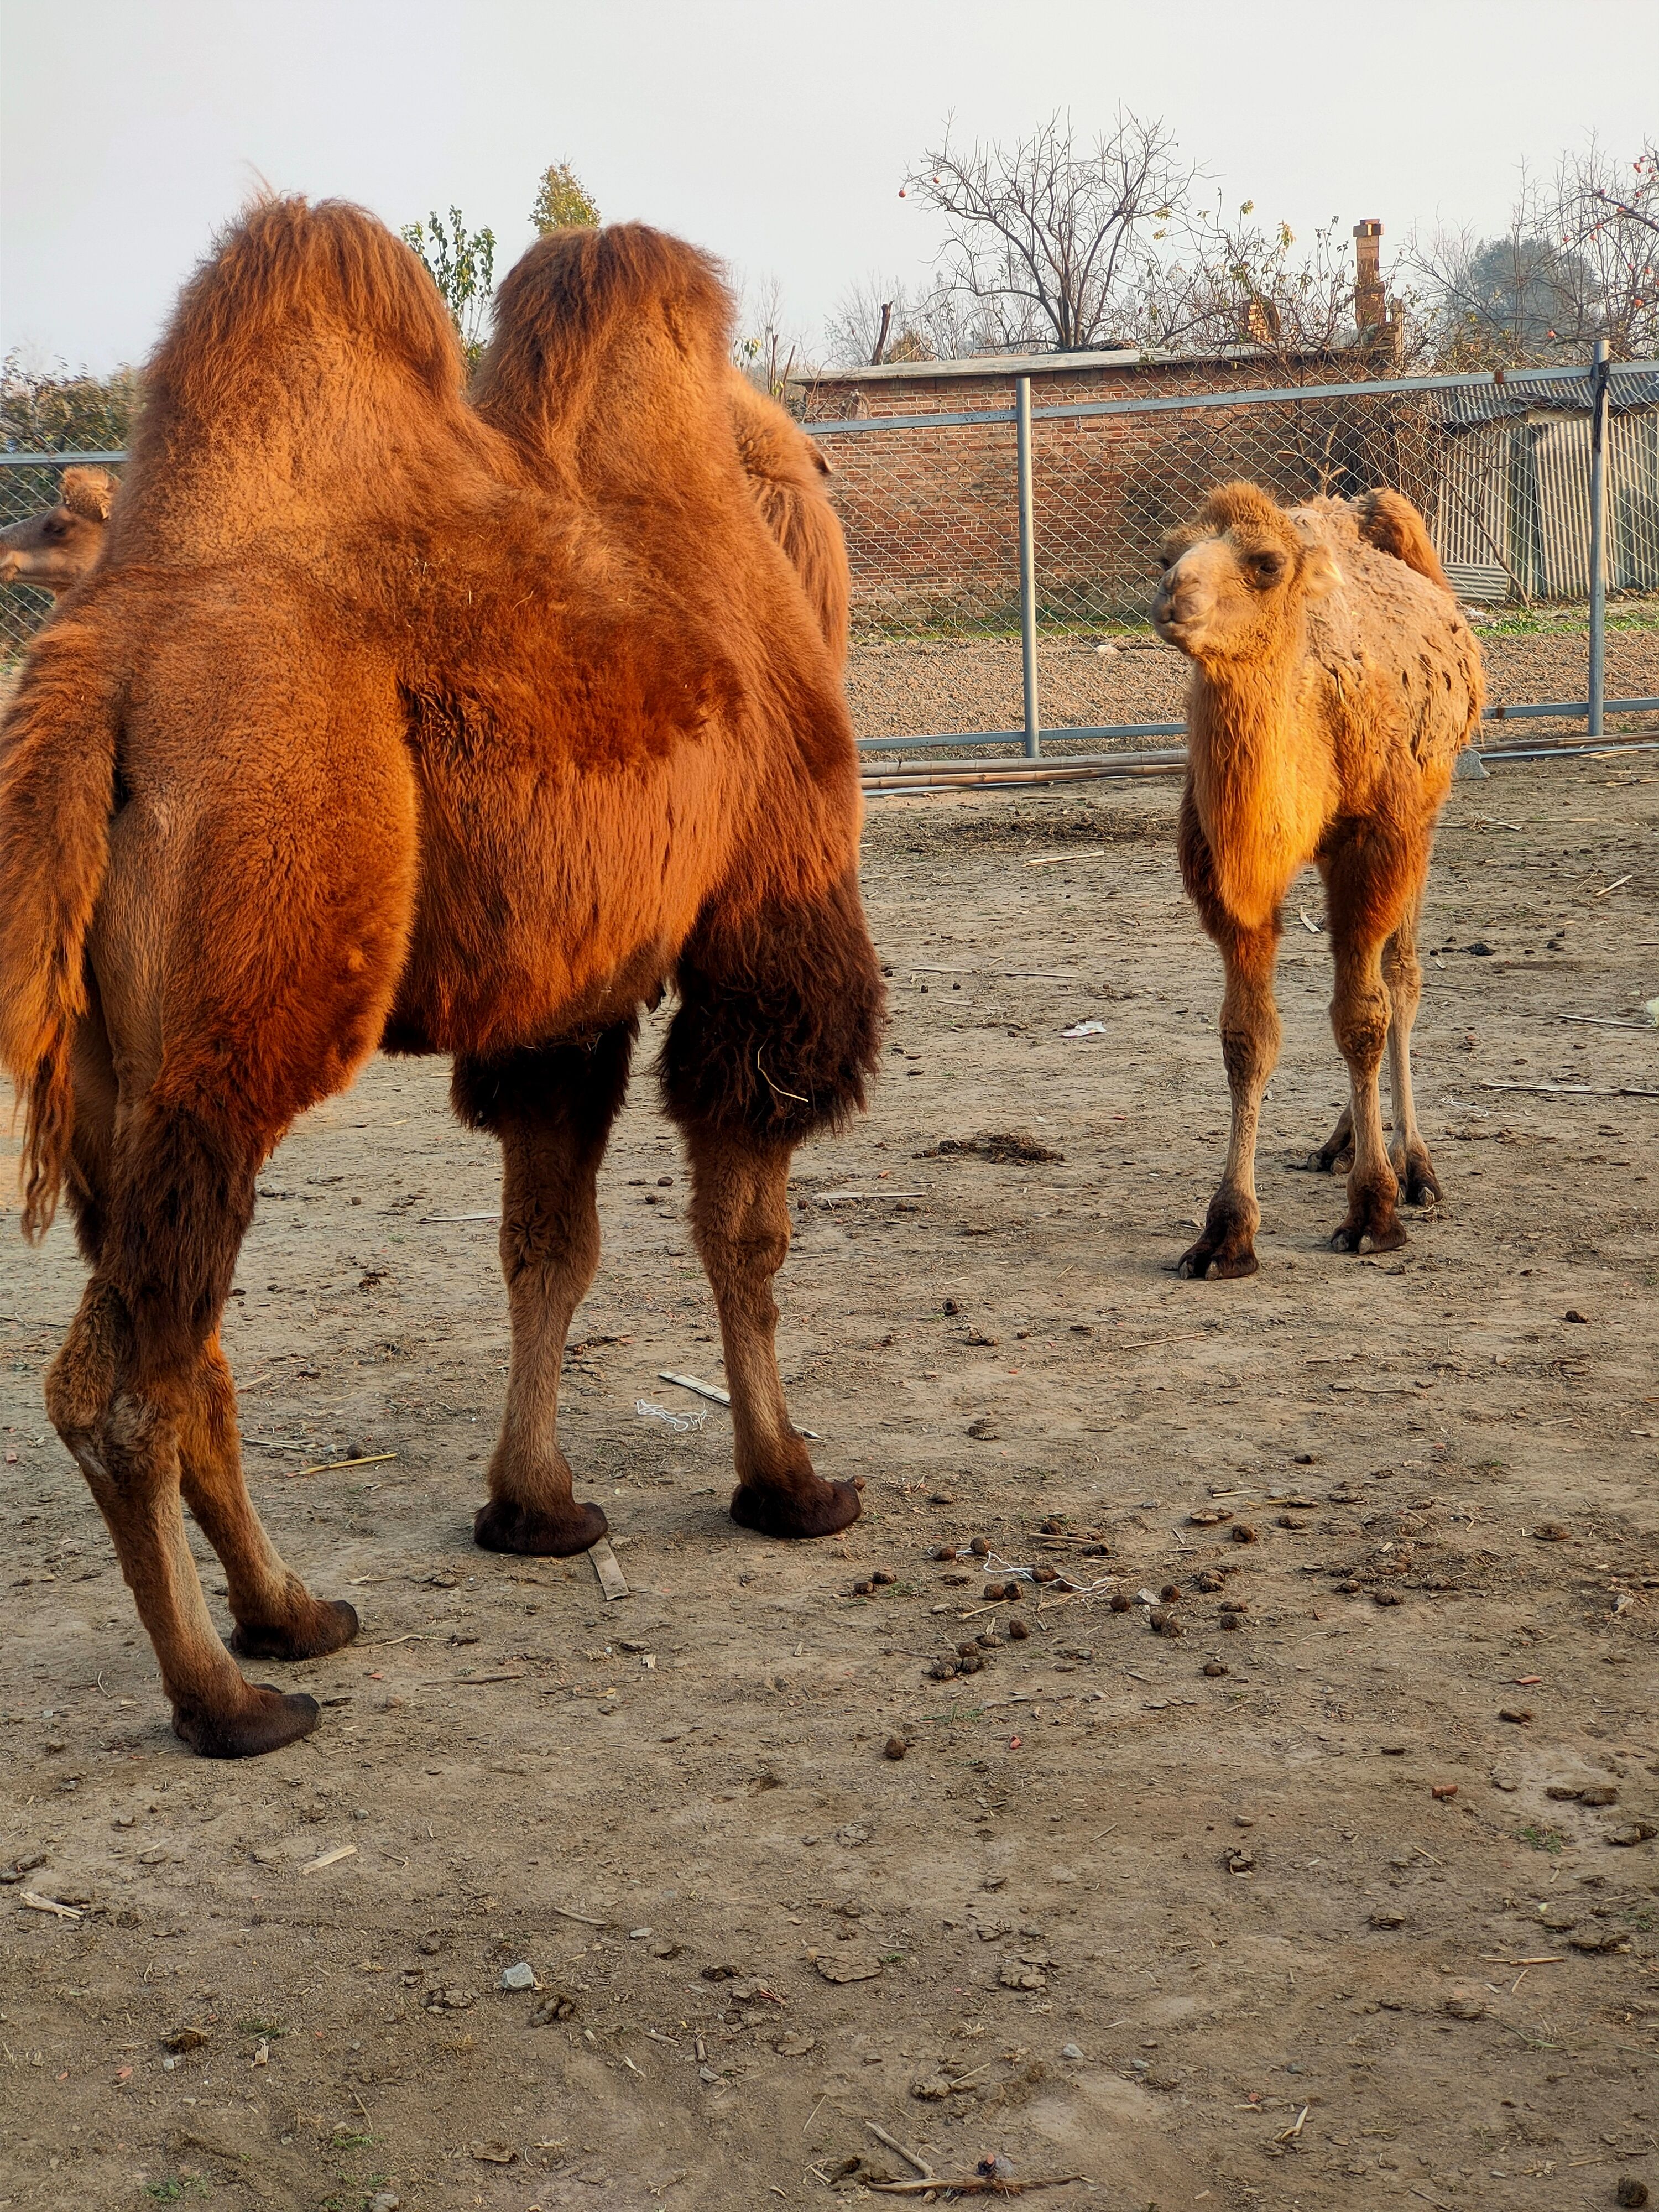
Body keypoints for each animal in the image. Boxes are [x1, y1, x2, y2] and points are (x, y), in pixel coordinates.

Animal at [0, 204, 885, 1761]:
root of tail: (100, 674)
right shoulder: (765, 927)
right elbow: (746, 1229)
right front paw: (787, 1482)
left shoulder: (567, 999)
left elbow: (548, 1240)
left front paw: (533, 1506)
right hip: (249, 1002)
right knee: (122, 1382)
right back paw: (229, 1697)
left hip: (118, 1075)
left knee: (186, 1338)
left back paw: (294, 1613)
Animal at [1150, 484, 1486, 1283]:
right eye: (1166, 551)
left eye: (1267, 563)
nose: (1173, 595)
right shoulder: (1229, 880)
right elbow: (1247, 1037)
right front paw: (1225, 1235)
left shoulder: (1377, 838)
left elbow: (1362, 1018)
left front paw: (1375, 1213)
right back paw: (1342, 1143)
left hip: (1425, 812)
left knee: (1400, 978)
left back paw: (1413, 1164)